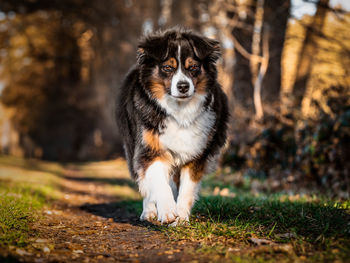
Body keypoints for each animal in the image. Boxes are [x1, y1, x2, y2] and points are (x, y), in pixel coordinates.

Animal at [116, 28, 228, 227]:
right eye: (168, 67)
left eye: (193, 67)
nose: (183, 86)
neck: (179, 111)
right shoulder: (149, 150)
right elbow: (159, 184)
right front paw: (167, 211)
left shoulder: (195, 154)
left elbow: (186, 190)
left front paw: (181, 217)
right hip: (132, 146)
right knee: (145, 184)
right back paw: (149, 211)